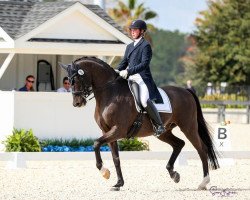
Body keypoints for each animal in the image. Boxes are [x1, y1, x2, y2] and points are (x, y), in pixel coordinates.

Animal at [59, 56, 220, 191]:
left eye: (76, 79)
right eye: (69, 81)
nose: (77, 103)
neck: (110, 93)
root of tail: (186, 91)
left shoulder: (118, 130)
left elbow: (96, 143)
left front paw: (105, 172)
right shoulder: (108, 132)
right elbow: (115, 158)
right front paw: (118, 183)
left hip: (189, 127)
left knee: (202, 149)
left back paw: (203, 182)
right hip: (163, 132)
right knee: (179, 144)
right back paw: (174, 174)